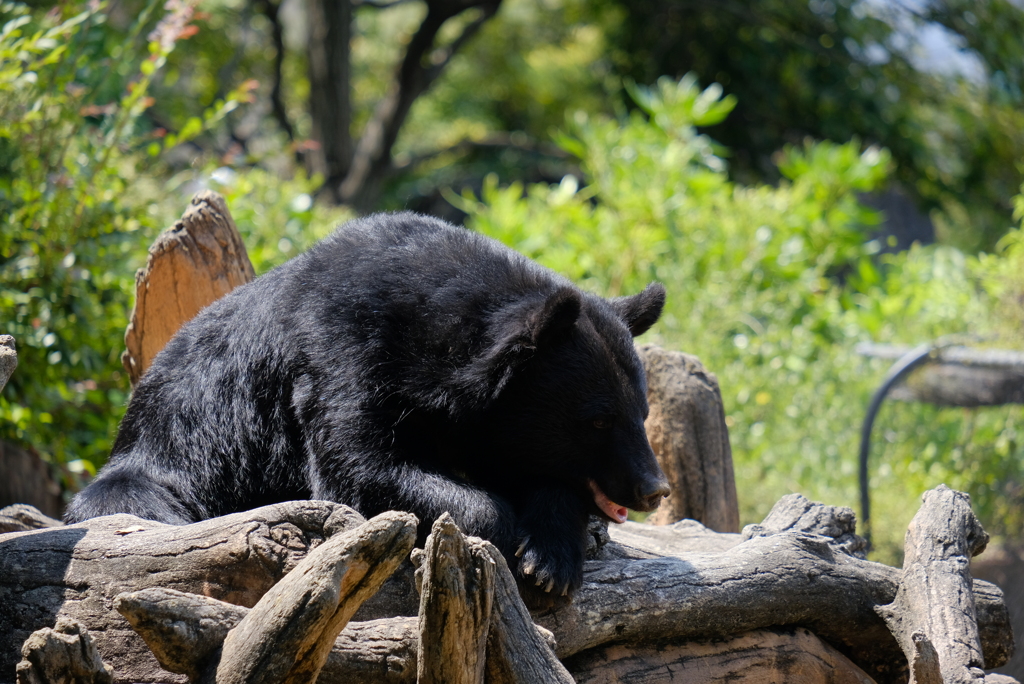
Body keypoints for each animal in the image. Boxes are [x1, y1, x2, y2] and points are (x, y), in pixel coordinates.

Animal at [66, 210, 671, 606]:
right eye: (597, 420)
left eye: (640, 413)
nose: (653, 488)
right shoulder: (339, 354)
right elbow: (360, 468)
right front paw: (503, 530)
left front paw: (551, 556)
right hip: (156, 466)